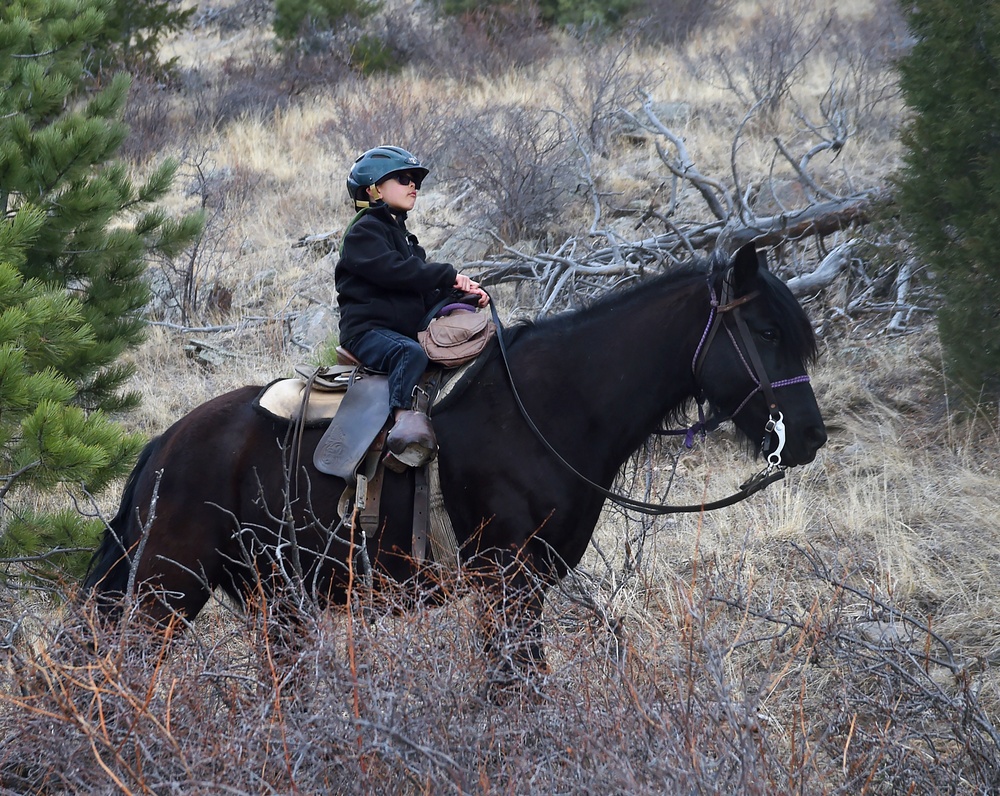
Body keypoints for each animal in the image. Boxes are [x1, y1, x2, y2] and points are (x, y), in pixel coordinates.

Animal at [82, 241, 824, 672]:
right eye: (764, 330)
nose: (810, 437)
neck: (544, 412)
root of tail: (163, 446)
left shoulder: (524, 589)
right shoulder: (509, 586)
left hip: (274, 600)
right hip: (166, 589)